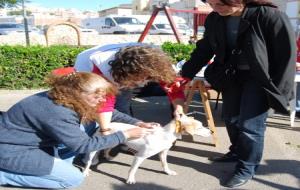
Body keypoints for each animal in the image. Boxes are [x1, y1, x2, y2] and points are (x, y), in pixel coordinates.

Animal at [82, 116, 211, 184]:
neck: (164, 135)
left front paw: (168, 172)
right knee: (89, 160)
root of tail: (105, 126)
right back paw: (85, 171)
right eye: (200, 127)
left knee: (106, 150)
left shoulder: (163, 153)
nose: (211, 131)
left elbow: (165, 164)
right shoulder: (139, 156)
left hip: (113, 142)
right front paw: (130, 179)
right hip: (94, 150)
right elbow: (133, 170)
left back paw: (108, 156)